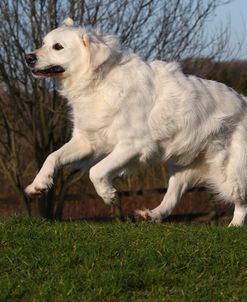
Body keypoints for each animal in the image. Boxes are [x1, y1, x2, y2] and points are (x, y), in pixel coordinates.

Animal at [24, 17, 247, 225]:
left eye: (58, 46)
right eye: (43, 43)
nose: (28, 57)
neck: (99, 82)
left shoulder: (134, 145)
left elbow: (96, 171)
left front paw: (108, 194)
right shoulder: (87, 141)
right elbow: (53, 156)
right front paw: (38, 184)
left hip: (230, 172)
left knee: (241, 203)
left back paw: (233, 226)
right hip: (182, 166)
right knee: (172, 195)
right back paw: (151, 214)